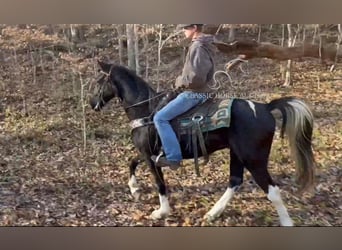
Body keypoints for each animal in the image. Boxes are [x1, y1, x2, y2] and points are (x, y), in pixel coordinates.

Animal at [89, 61, 314, 227]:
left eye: (99, 81)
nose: (92, 104)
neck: (147, 110)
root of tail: (266, 108)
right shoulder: (148, 153)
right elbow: (132, 162)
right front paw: (134, 189)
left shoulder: (150, 157)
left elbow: (159, 183)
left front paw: (161, 212)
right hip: (237, 154)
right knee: (235, 181)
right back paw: (213, 213)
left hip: (254, 159)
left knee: (272, 190)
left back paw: (286, 222)